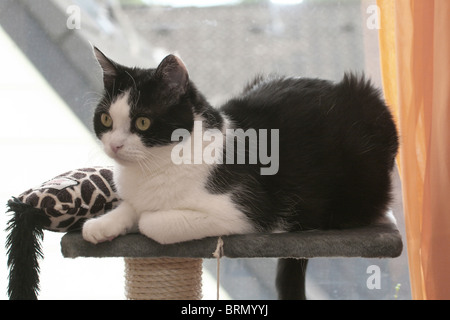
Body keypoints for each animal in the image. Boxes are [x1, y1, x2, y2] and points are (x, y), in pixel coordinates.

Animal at [81, 48, 398, 248]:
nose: (114, 145)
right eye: (106, 119)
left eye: (143, 122)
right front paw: (103, 224)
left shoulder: (244, 211)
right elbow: (132, 206)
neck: (153, 167)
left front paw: (139, 218)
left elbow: (151, 221)